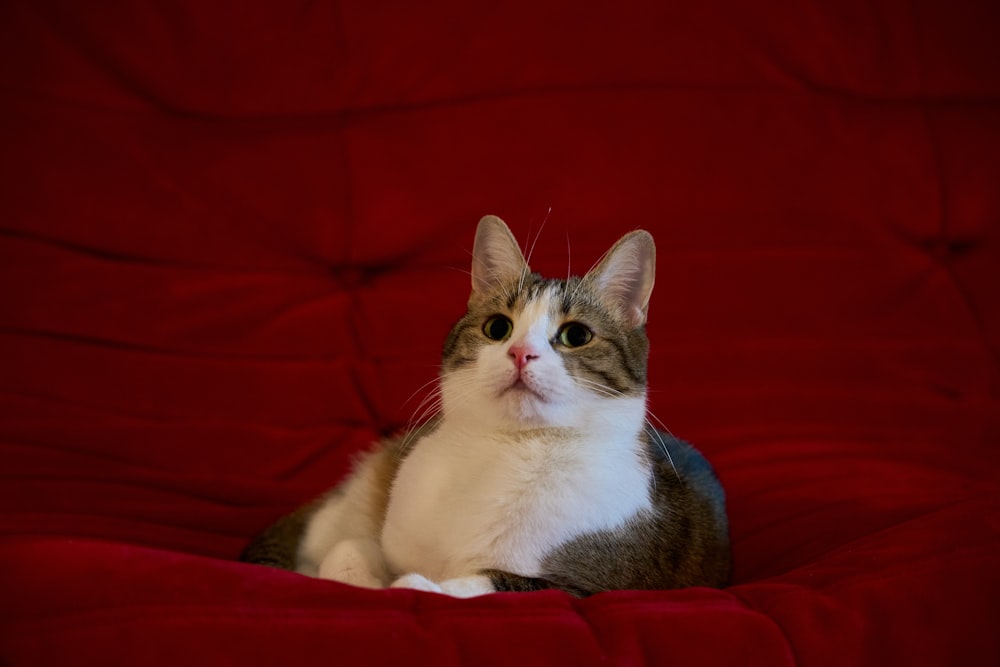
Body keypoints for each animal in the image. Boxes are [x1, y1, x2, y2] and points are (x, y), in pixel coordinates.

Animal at [241, 217, 728, 596]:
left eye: (576, 335)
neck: (503, 448)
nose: (521, 353)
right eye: (498, 328)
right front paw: (358, 580)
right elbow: (351, 550)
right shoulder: (382, 535)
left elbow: (477, 581)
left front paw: (415, 584)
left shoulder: (586, 586)